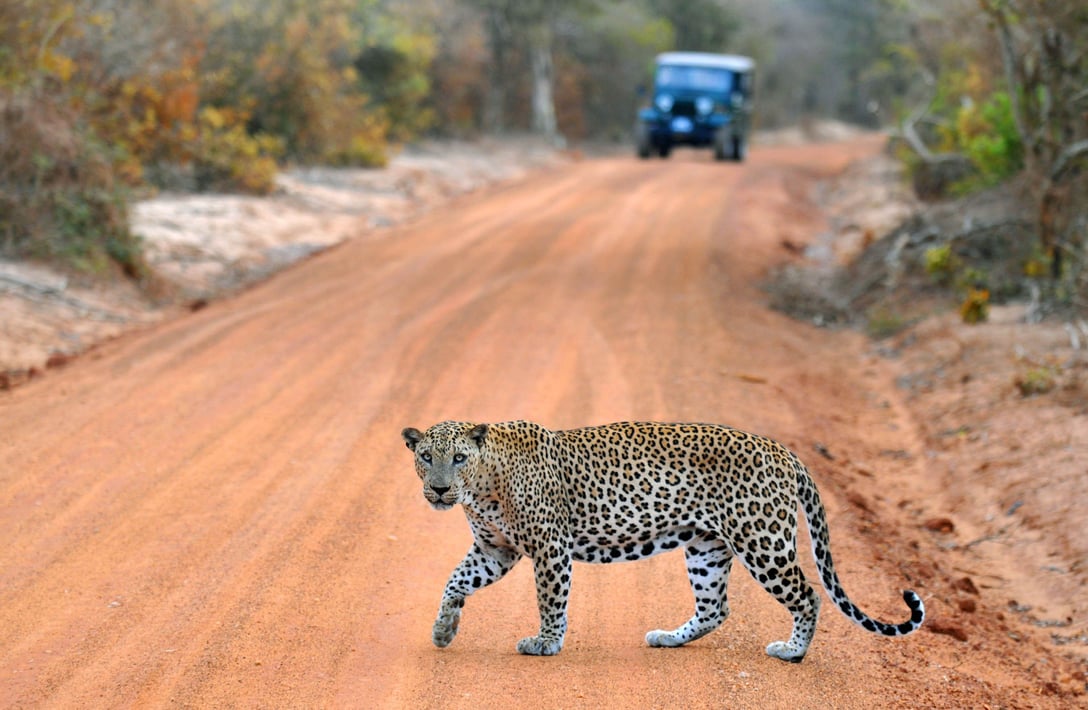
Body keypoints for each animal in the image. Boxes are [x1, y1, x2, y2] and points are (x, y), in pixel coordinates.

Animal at [402, 417, 926, 661]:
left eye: (459, 458)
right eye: (426, 456)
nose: (440, 489)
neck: (483, 486)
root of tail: (784, 451)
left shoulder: (550, 548)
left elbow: (551, 601)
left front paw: (546, 643)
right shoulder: (495, 550)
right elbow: (455, 581)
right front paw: (444, 629)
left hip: (763, 540)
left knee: (808, 594)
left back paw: (792, 651)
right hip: (706, 547)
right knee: (716, 608)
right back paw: (669, 638)